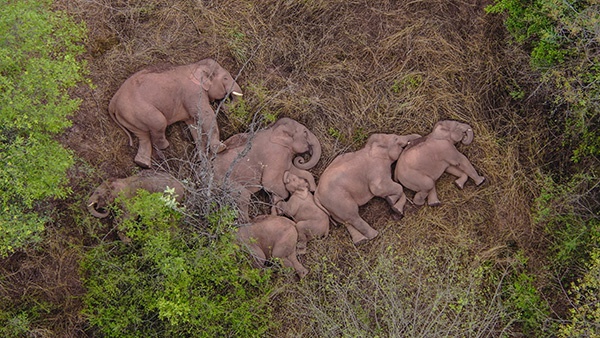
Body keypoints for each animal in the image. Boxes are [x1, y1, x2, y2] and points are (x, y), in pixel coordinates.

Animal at [110, 59, 244, 169]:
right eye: (225, 78)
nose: (224, 102)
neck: (194, 65)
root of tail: (113, 102)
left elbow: (194, 124)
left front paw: (202, 159)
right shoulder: (193, 92)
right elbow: (205, 114)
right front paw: (221, 148)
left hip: (130, 117)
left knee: (143, 136)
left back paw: (142, 164)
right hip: (139, 110)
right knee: (159, 122)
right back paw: (165, 146)